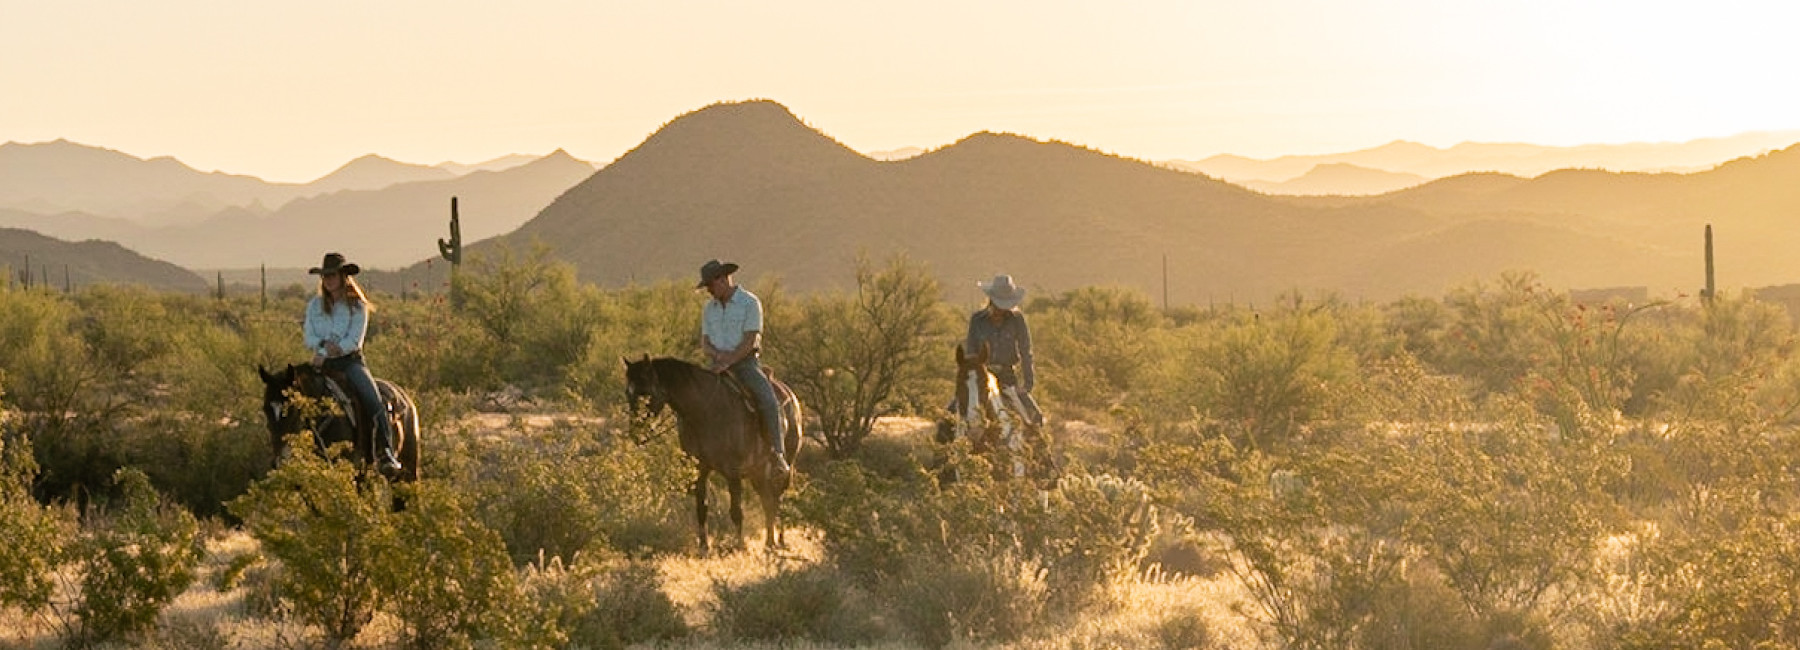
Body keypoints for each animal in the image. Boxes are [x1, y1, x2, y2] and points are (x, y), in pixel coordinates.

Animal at [623, 354, 802, 555]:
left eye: (646, 393)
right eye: (628, 393)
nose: (637, 434)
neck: (705, 412)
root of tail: (790, 395)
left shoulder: (733, 472)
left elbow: (736, 511)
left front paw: (739, 546)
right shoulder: (700, 470)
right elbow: (702, 508)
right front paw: (704, 547)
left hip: (785, 465)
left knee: (778, 498)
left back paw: (778, 541)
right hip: (758, 471)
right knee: (768, 501)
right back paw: (770, 542)